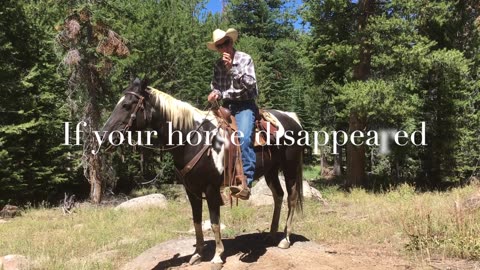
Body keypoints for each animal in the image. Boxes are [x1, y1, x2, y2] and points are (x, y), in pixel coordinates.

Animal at [101, 78, 304, 266]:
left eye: (127, 105)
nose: (103, 137)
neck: (193, 138)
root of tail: (293, 119)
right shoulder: (191, 189)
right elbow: (197, 221)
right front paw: (197, 254)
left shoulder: (211, 188)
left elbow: (214, 222)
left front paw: (217, 256)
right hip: (271, 171)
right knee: (278, 195)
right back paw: (271, 235)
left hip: (290, 167)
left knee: (292, 197)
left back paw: (285, 239)